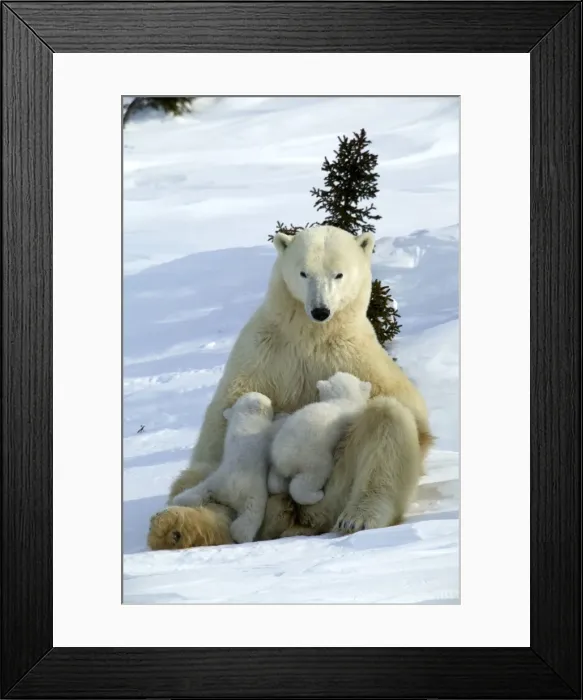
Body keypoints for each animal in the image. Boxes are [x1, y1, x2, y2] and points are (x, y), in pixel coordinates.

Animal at [170, 392, 276, 544]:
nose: (271, 401)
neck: (249, 414)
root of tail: (230, 494)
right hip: (255, 491)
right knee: (251, 514)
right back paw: (242, 536)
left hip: (217, 480)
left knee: (200, 490)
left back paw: (181, 499)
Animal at [268, 371, 372, 506]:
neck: (343, 399)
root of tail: (283, 460)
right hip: (312, 458)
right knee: (307, 480)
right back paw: (315, 495)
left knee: (275, 480)